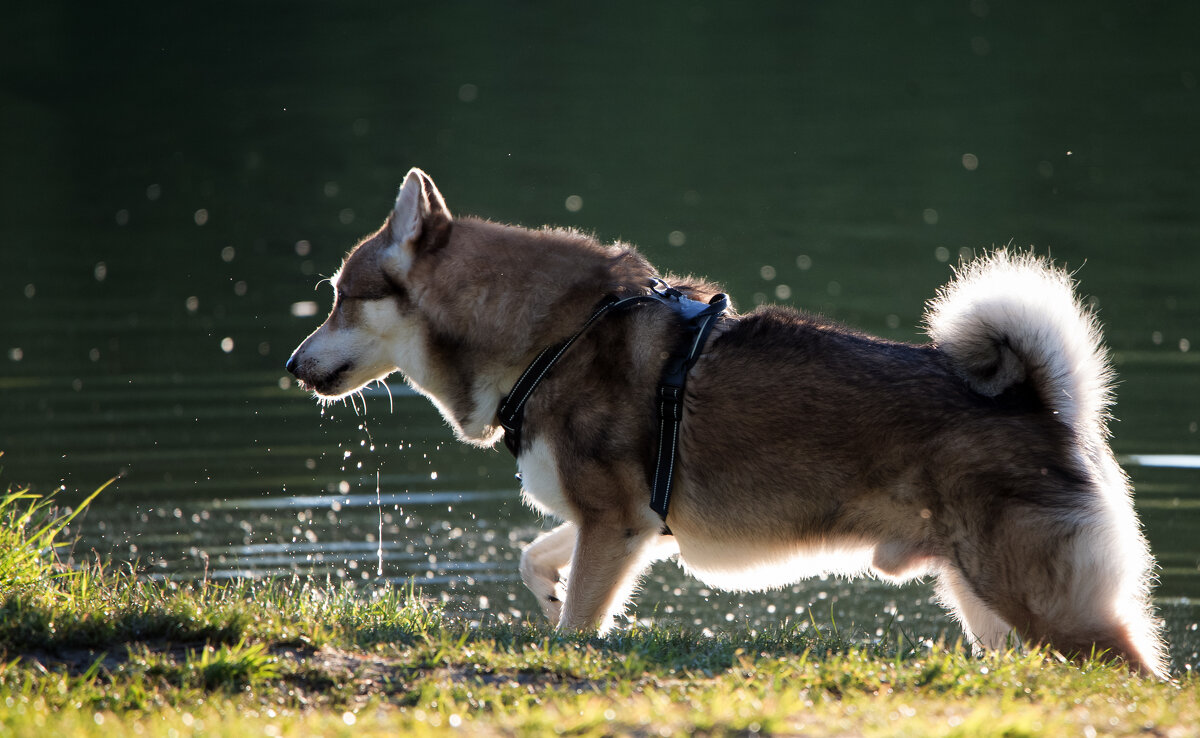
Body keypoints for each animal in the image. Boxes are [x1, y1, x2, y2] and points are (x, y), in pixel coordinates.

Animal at [285, 165, 1166, 676]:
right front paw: (545, 596)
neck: (552, 335)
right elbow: (535, 560)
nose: (291, 365)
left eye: (340, 297)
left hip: (1047, 609)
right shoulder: (626, 523)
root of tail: (1044, 403)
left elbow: (578, 620)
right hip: (987, 608)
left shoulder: (613, 525)